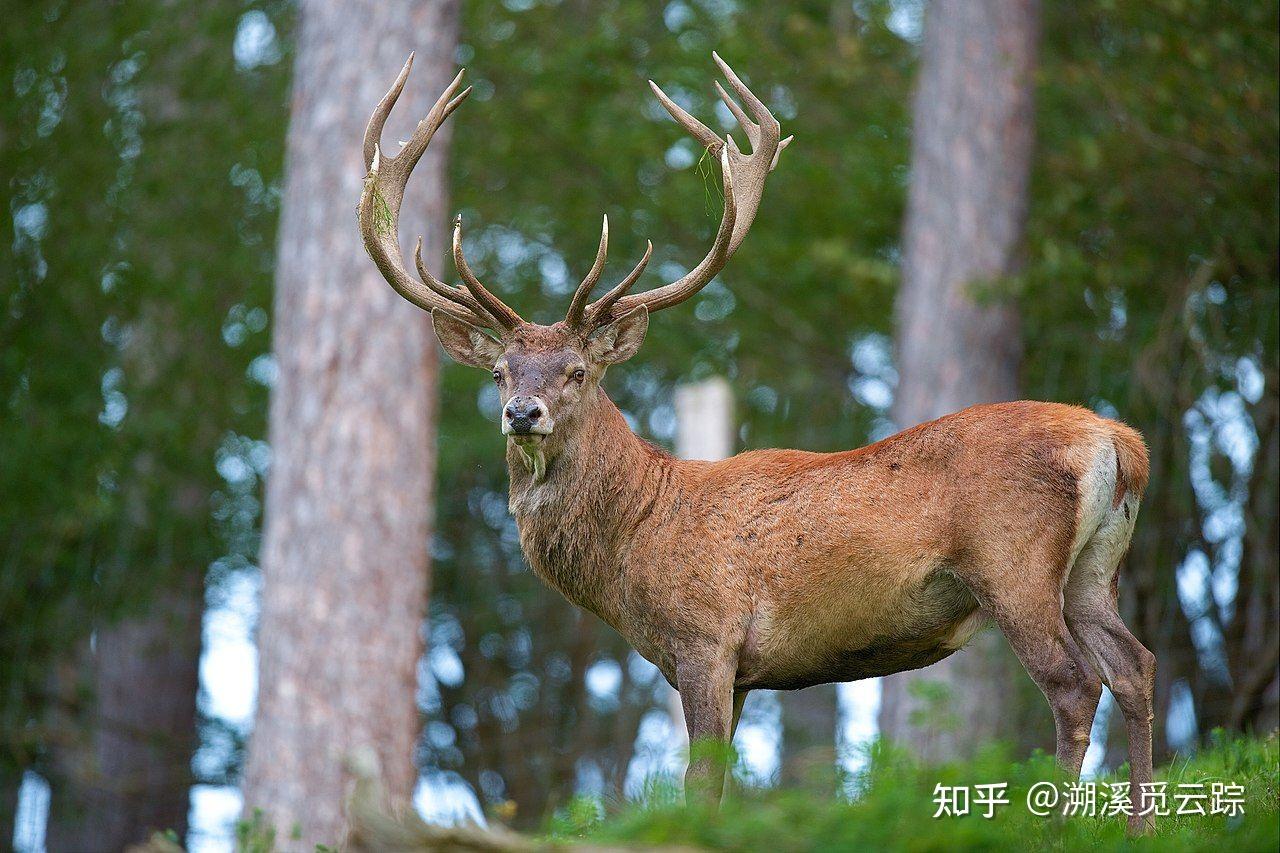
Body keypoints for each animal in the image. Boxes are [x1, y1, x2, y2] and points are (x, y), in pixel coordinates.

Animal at [355, 51, 1157, 824]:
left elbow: (699, 783)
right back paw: (1141, 824)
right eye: (499, 372)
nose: (523, 412)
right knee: (1135, 667)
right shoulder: (737, 671)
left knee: (1074, 684)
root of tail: (1120, 442)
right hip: (1093, 570)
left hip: (1013, 564)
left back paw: (1055, 825)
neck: (636, 537)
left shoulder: (705, 638)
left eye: (577, 370)